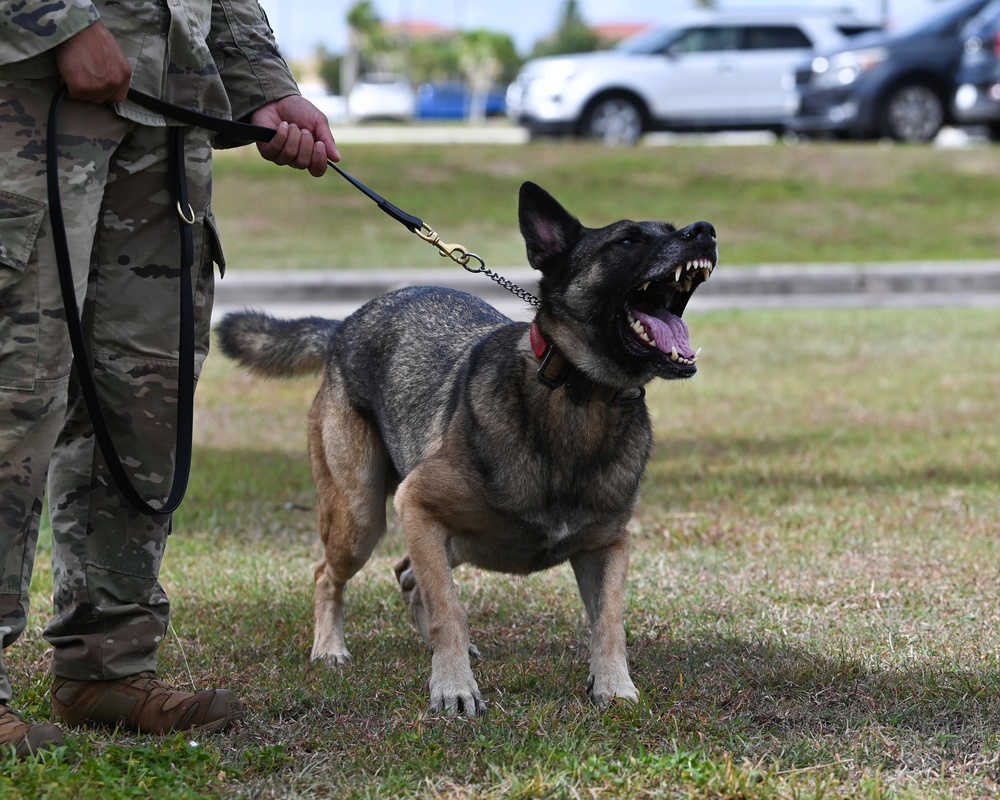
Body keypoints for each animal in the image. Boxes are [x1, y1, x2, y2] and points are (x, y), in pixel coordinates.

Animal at [217, 183, 720, 720]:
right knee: (330, 575)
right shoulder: (418, 505)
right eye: (626, 240)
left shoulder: (607, 545)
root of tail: (343, 327)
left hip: (455, 539)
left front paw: (613, 686)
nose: (705, 231)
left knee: (406, 573)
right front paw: (454, 687)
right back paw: (330, 648)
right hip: (363, 517)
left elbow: (608, 622)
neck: (577, 396)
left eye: (673, 228)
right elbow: (449, 610)